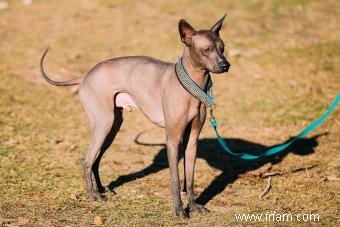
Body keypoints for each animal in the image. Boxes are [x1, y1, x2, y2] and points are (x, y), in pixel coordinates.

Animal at [39, 15, 231, 217]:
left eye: (222, 47)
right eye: (206, 49)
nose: (226, 65)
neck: (192, 87)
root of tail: (85, 76)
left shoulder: (192, 139)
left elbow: (190, 177)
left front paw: (193, 206)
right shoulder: (172, 140)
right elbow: (176, 180)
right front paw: (179, 210)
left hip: (113, 126)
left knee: (96, 160)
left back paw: (101, 189)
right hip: (104, 123)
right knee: (87, 160)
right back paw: (93, 195)